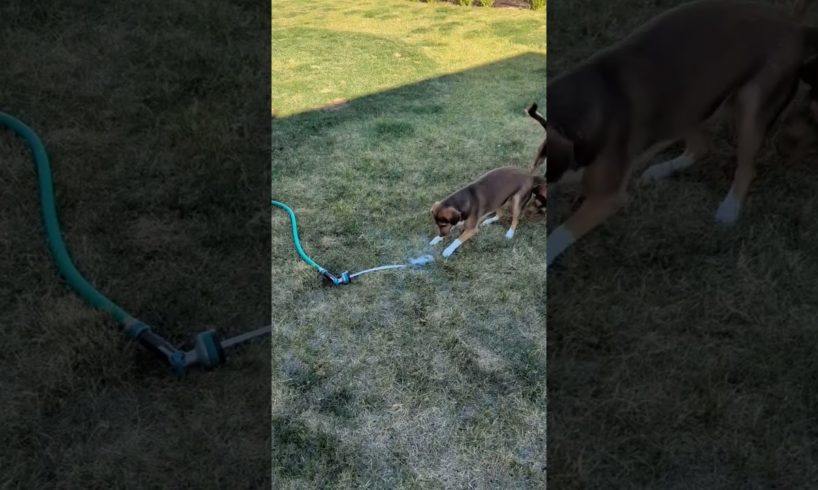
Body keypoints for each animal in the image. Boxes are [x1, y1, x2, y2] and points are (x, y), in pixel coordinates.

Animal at [540, 0, 816, 268]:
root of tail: (793, 23)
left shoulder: (606, 198)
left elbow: (559, 233)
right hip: (690, 103)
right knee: (701, 147)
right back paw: (659, 169)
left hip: (752, 107)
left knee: (746, 168)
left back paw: (729, 209)